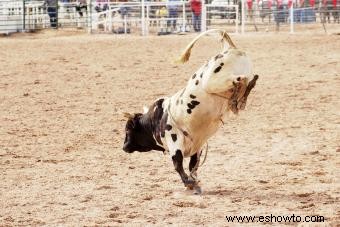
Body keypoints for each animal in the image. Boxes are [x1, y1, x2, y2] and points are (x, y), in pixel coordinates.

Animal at [122, 29, 258, 194]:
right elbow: (193, 166)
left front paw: (189, 183)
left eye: (128, 129)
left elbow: (178, 165)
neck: (156, 119)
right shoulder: (197, 148)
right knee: (248, 80)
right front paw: (194, 183)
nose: (124, 146)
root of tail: (229, 48)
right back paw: (241, 96)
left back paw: (238, 94)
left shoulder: (175, 142)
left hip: (213, 81)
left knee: (239, 79)